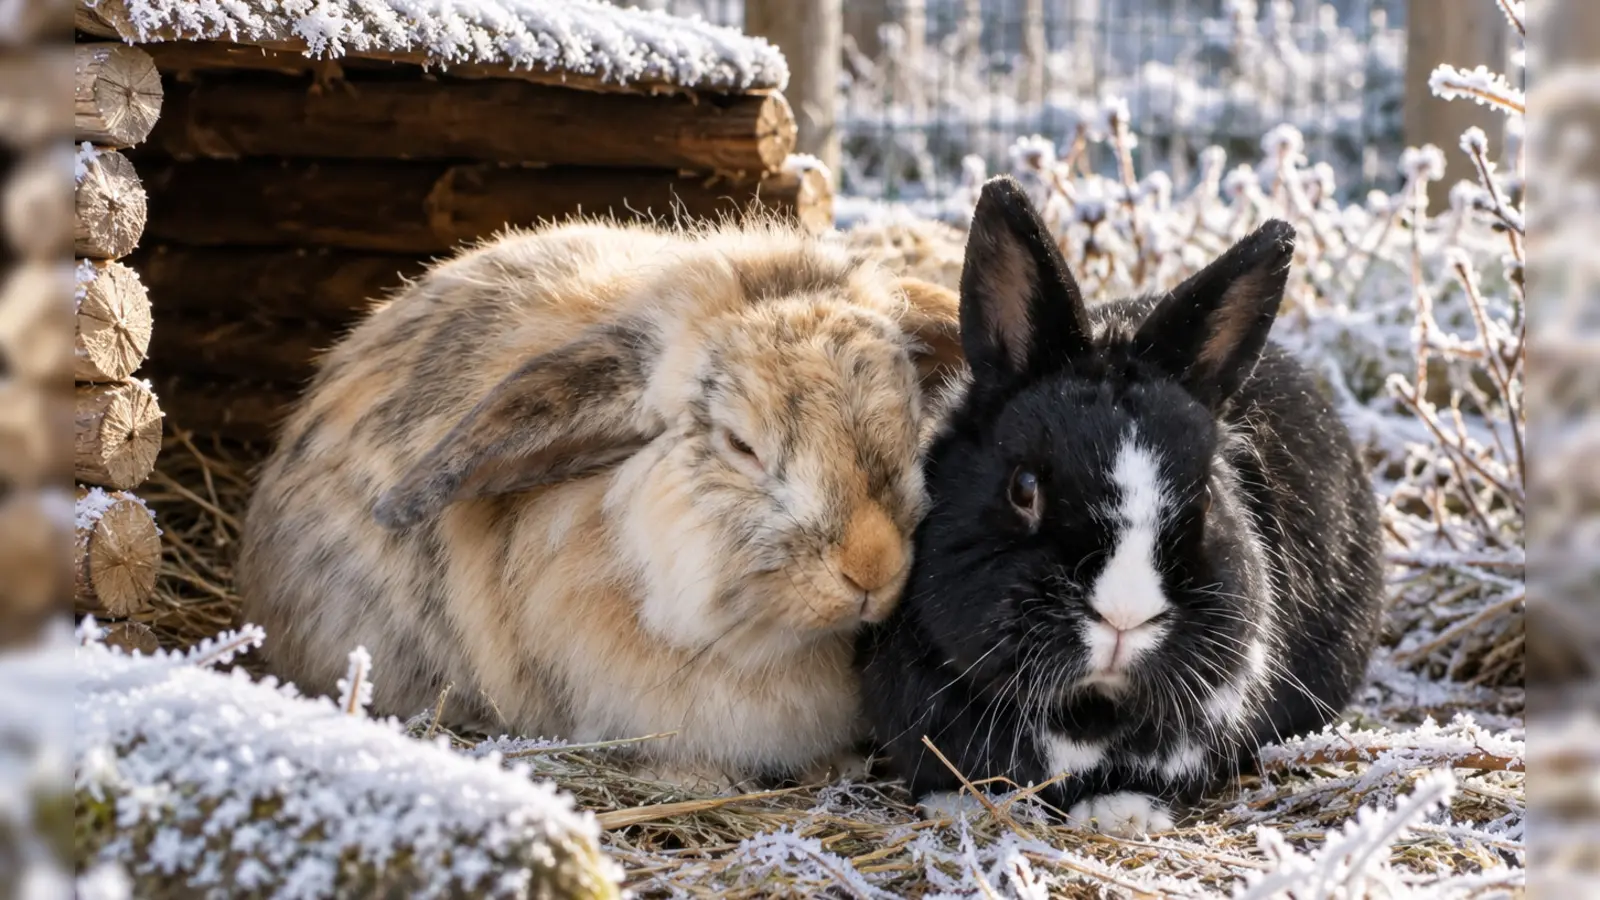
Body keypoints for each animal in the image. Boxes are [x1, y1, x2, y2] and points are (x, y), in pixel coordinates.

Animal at [856, 176, 1384, 836]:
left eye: (1207, 496)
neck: (1087, 711)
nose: (1124, 617)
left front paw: (1121, 814)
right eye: (1023, 488)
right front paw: (960, 806)